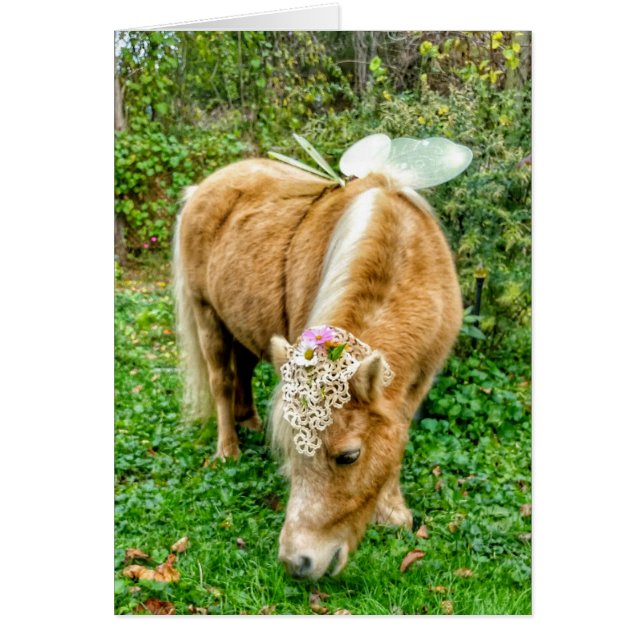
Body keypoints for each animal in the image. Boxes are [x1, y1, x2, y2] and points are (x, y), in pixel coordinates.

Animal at [173, 157, 463, 580]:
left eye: (349, 456)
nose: (297, 562)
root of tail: (206, 186)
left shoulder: (418, 384)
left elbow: (398, 436)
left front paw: (393, 512)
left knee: (242, 370)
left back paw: (250, 422)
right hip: (205, 313)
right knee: (221, 381)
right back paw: (228, 449)